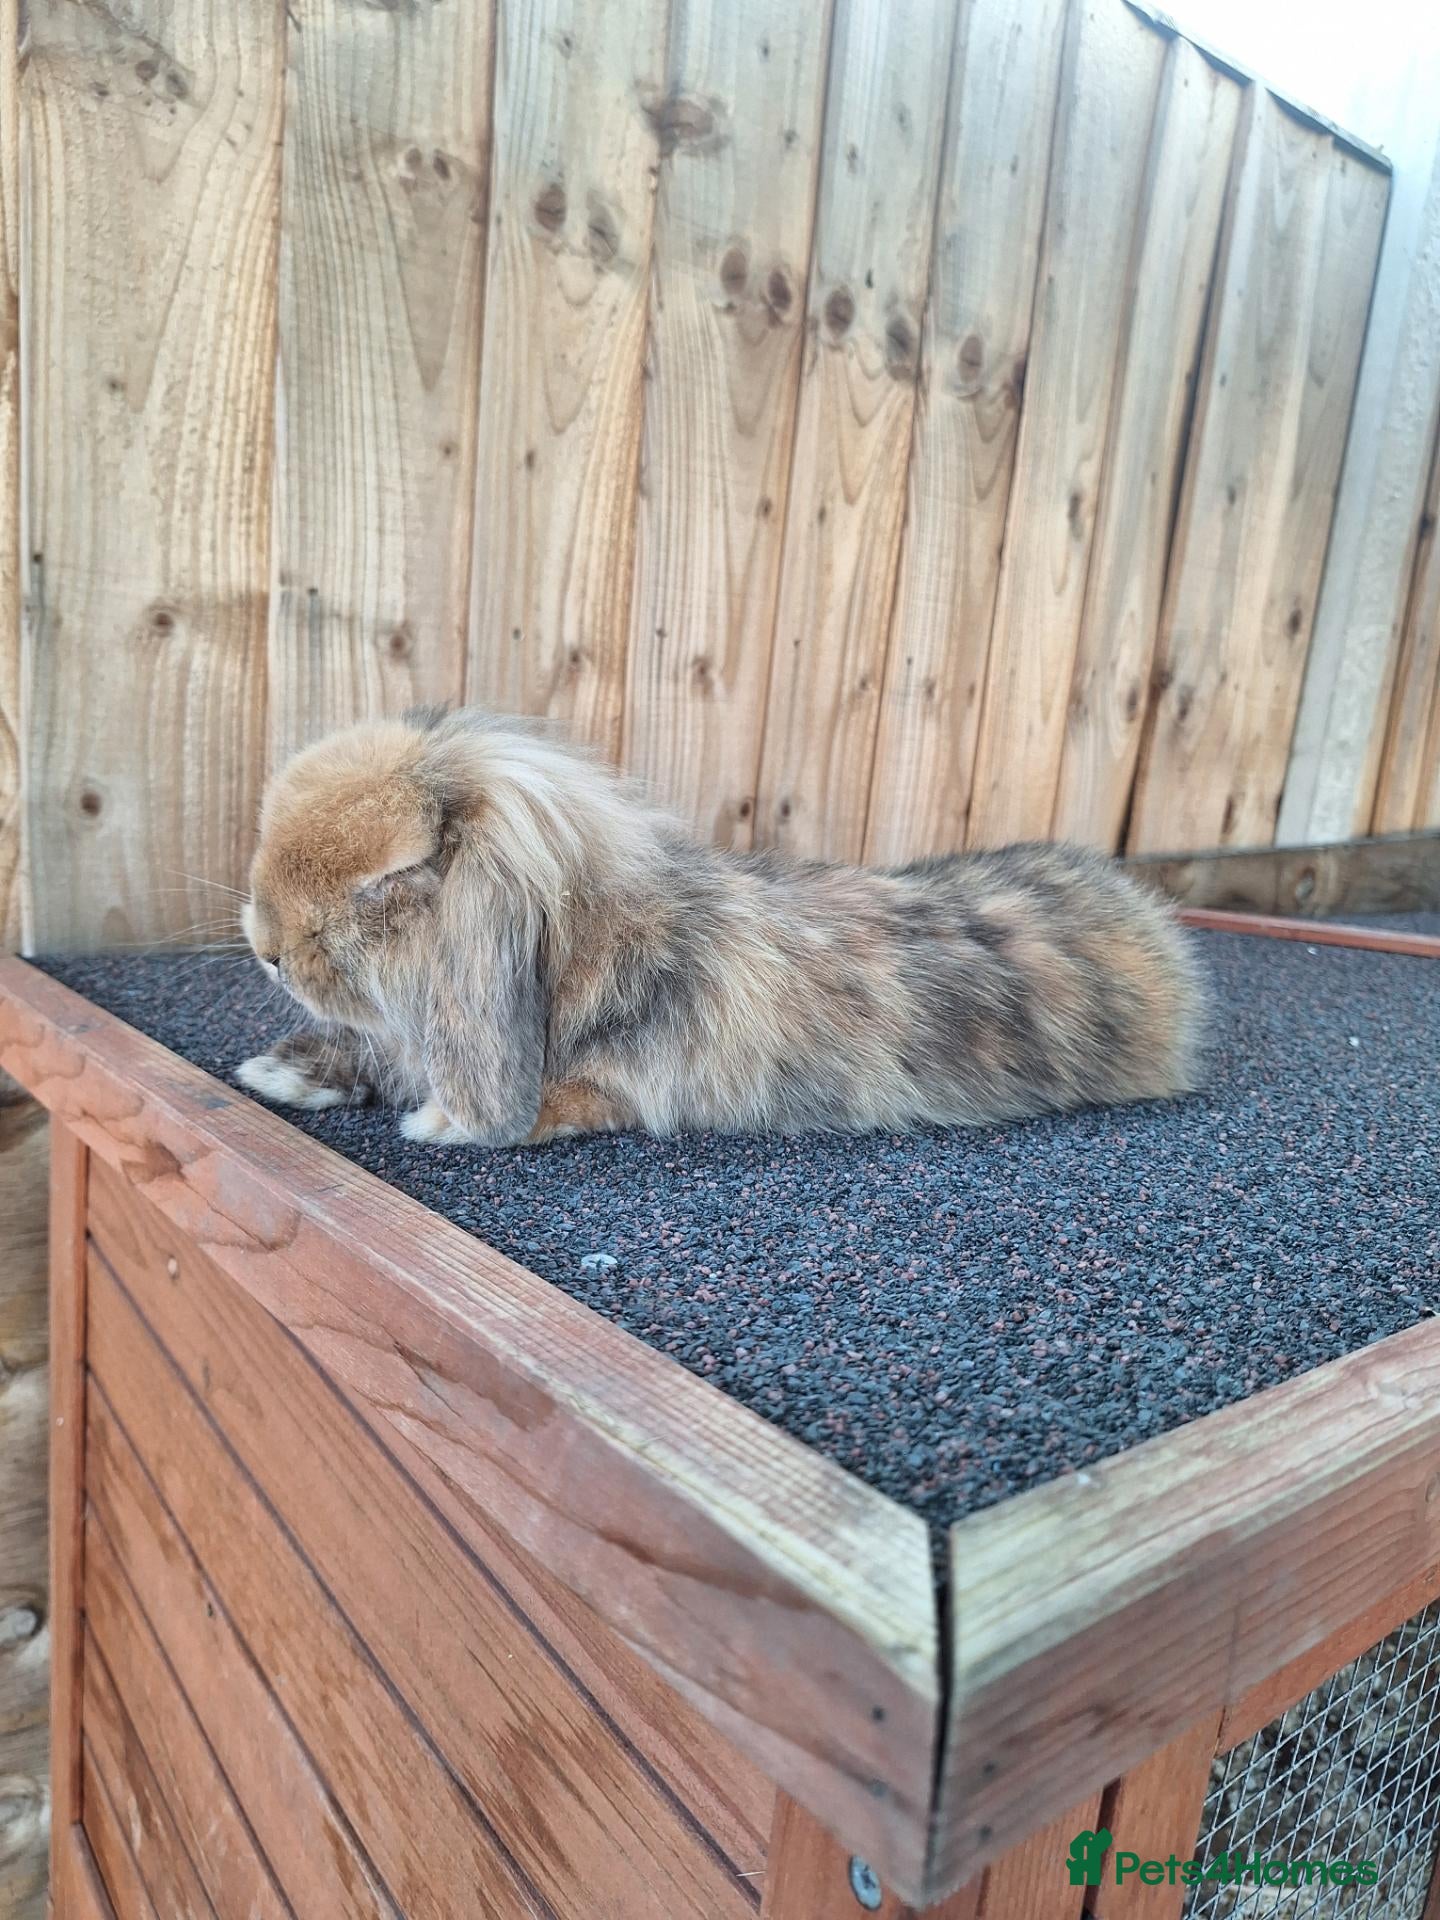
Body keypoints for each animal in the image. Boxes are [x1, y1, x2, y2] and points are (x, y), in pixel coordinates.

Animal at [236, 705, 1204, 1147]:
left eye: (389, 879)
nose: (268, 951)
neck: (580, 949)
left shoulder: (619, 1086)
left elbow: (561, 1100)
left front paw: (440, 1124)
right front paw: (275, 1073)